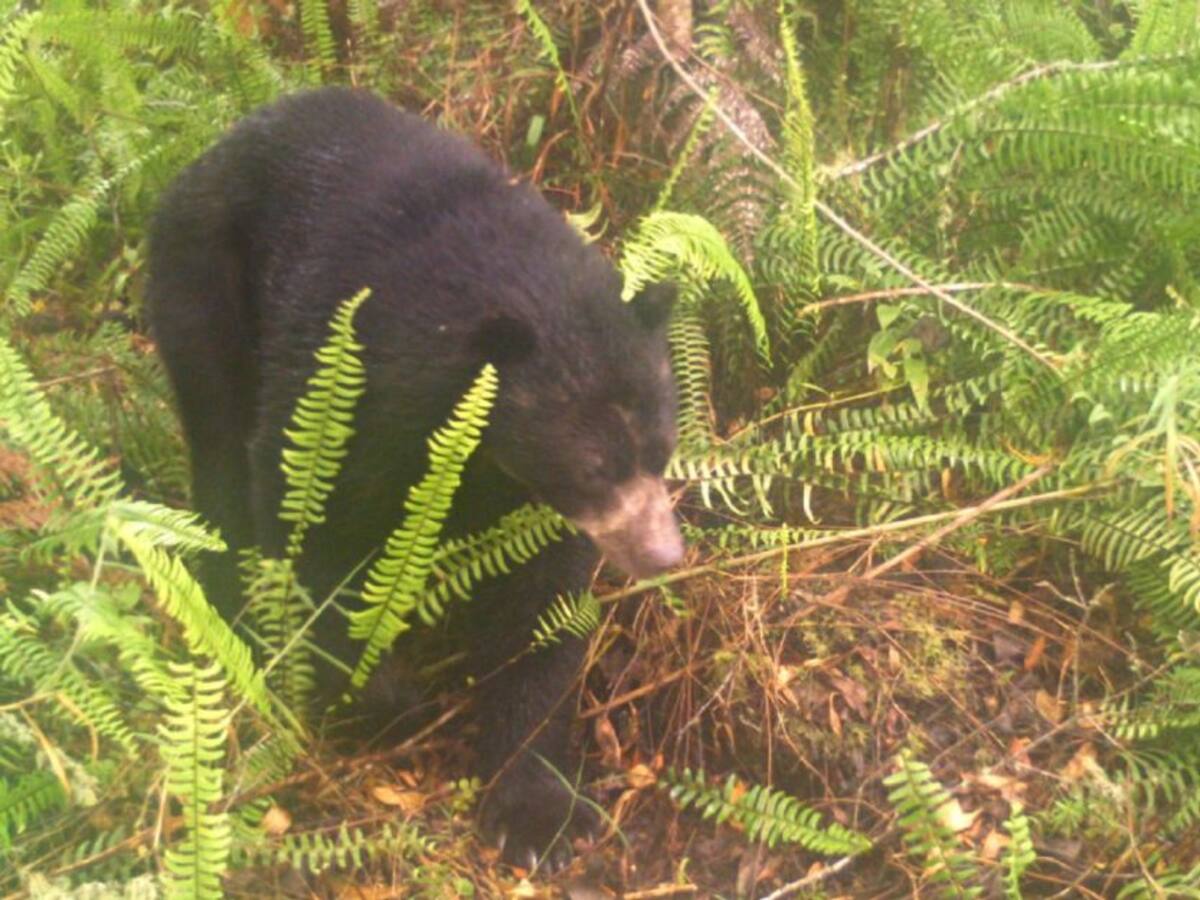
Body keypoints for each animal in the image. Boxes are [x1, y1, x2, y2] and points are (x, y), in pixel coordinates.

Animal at [145, 87, 683, 868]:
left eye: (663, 450)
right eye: (595, 466)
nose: (663, 553)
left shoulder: (524, 498)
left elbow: (539, 609)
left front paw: (538, 813)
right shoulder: (349, 385)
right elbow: (312, 521)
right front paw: (382, 701)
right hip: (202, 286)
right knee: (218, 449)